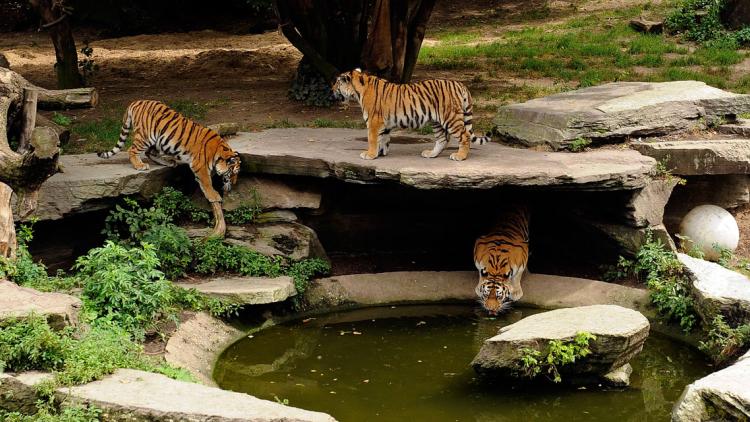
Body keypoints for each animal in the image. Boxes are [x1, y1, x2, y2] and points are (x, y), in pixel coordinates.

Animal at [97, 100, 241, 237]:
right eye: (233, 173)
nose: (234, 183)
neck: (219, 152)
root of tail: (136, 101)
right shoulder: (199, 166)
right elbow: (207, 183)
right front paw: (214, 196)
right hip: (146, 136)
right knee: (132, 150)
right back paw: (140, 165)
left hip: (158, 141)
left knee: (150, 152)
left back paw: (169, 162)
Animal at [331, 68, 490, 161]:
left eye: (337, 83)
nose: (331, 89)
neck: (358, 91)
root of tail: (460, 84)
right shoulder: (384, 124)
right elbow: (383, 139)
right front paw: (380, 153)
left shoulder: (374, 121)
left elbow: (372, 139)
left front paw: (369, 154)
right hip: (437, 121)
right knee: (443, 139)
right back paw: (431, 154)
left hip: (450, 118)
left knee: (464, 136)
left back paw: (460, 156)